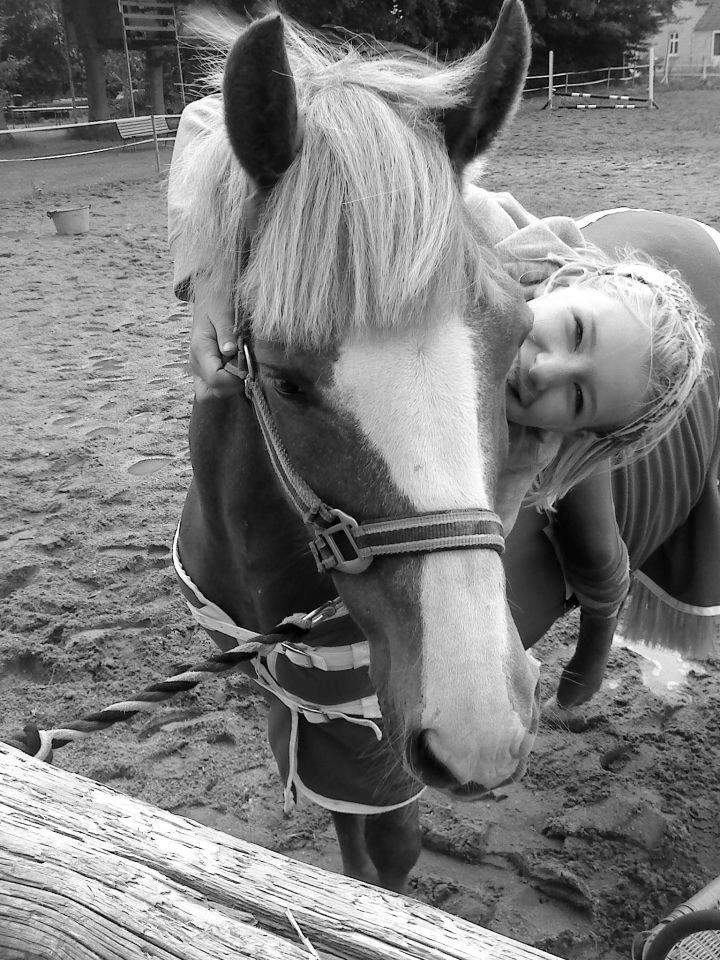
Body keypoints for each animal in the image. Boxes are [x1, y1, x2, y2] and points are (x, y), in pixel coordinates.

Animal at [171, 0, 539, 892]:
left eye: (517, 339)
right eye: (284, 378)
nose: (481, 728)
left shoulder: (376, 724)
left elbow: (392, 855)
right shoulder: (296, 701)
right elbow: (346, 838)